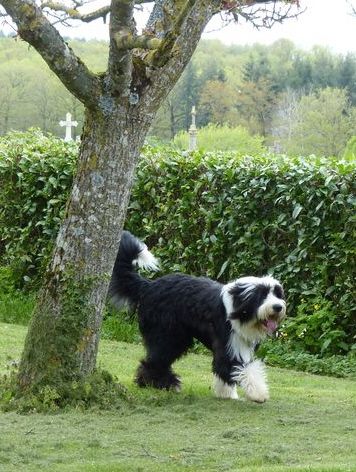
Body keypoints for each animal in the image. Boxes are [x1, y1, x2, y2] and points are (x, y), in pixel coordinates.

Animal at [108, 230, 286, 400]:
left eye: (277, 293)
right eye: (261, 295)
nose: (278, 307)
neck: (239, 308)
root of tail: (148, 286)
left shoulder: (239, 344)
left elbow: (226, 371)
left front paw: (226, 394)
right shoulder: (228, 344)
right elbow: (237, 368)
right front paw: (258, 394)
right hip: (167, 335)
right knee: (155, 359)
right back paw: (162, 383)